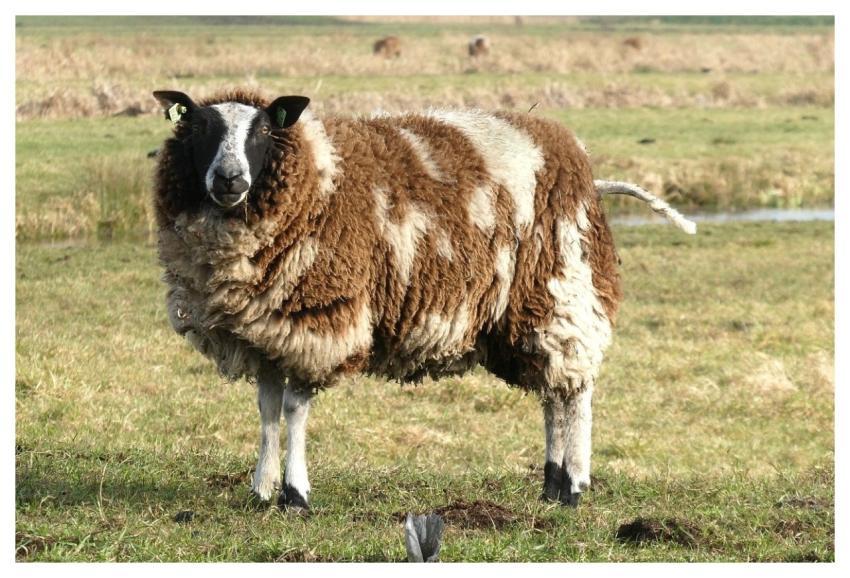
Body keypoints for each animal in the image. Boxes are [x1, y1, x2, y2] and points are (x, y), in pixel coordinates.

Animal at [152, 89, 695, 512]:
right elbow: (267, 410)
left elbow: (293, 408)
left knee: (574, 392)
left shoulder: (320, 319)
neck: (316, 177)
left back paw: (575, 485)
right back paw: (551, 483)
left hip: (563, 289)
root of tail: (580, 161)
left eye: (264, 130)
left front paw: (295, 494)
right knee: (552, 395)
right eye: (198, 128)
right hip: (528, 311)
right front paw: (261, 489)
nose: (230, 180)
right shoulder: (265, 329)